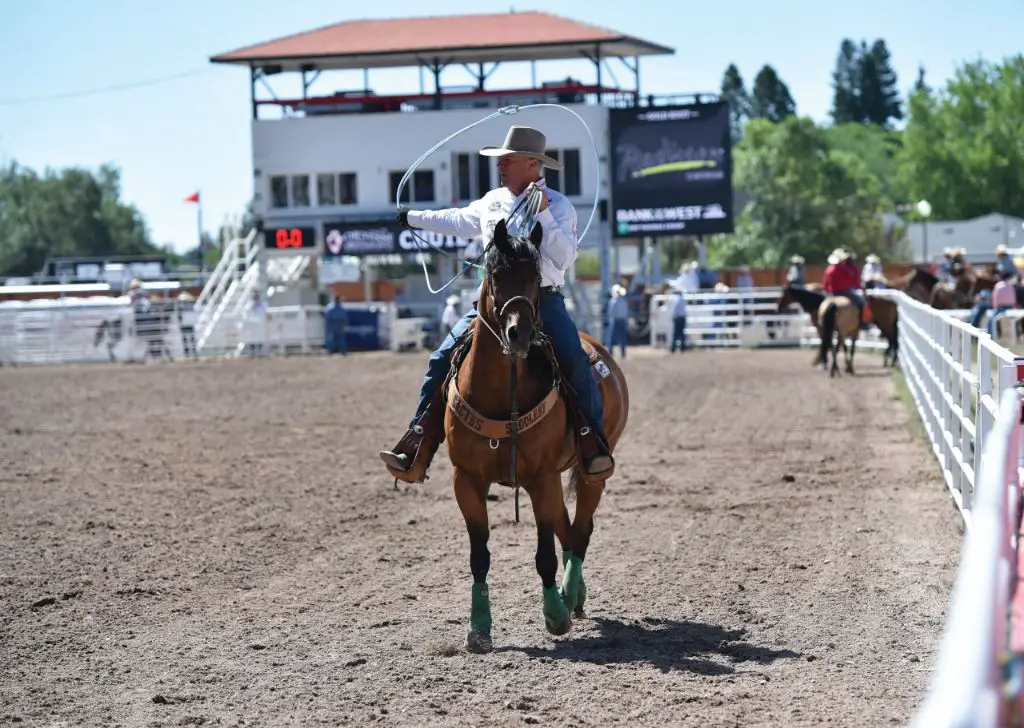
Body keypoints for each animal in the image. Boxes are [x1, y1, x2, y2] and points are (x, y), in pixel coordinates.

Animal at [442, 218, 626, 655]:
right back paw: (574, 595)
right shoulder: (466, 480)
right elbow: (479, 555)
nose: (519, 333)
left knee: (581, 529)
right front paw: (479, 629)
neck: (499, 393)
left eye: (535, 276)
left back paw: (570, 595)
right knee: (568, 527)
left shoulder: (541, 478)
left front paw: (555, 616)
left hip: (591, 471)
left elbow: (545, 555)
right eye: (494, 274)